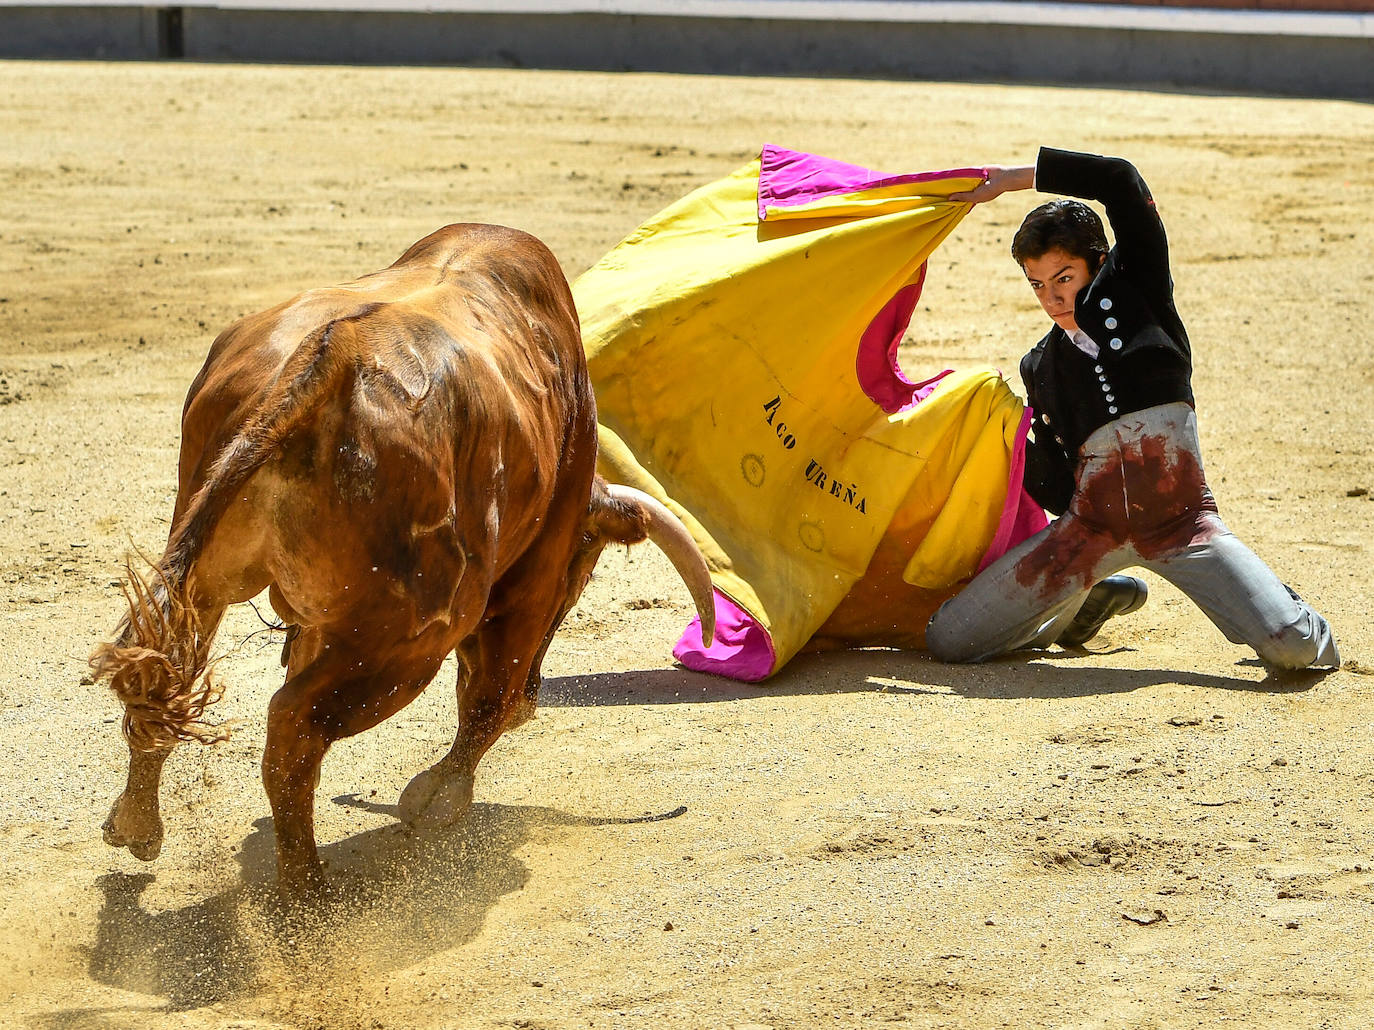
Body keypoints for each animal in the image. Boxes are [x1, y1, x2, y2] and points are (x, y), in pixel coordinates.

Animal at [94, 223, 719, 895]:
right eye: (582, 576)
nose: (538, 696)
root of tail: (331, 357)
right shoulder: (533, 584)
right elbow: (488, 700)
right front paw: (439, 797)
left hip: (205, 568)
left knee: (165, 663)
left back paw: (138, 823)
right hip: (412, 637)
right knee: (296, 724)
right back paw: (308, 891)